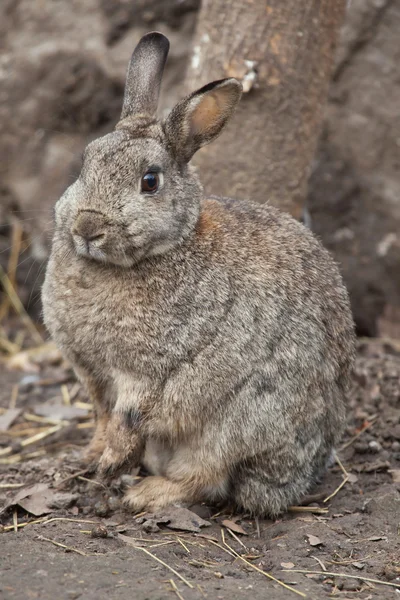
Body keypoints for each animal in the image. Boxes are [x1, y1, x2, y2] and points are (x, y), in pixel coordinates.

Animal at [43, 31, 356, 516]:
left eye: (150, 181)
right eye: (84, 162)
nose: (87, 227)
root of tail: (290, 483)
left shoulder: (147, 373)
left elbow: (127, 417)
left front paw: (110, 465)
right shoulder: (92, 373)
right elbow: (101, 415)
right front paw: (89, 458)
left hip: (235, 424)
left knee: (207, 478)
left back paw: (146, 494)